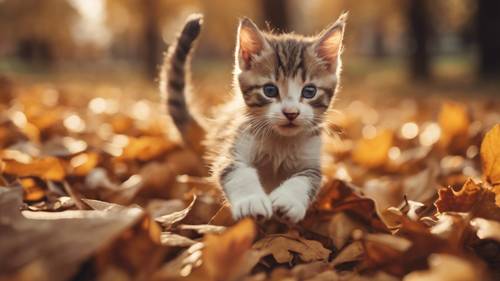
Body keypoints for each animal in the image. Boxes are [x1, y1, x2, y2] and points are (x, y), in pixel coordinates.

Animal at [162, 13, 346, 222]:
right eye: (269, 90)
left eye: (309, 91)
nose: (291, 113)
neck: (280, 141)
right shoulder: (235, 147)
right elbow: (236, 172)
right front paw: (251, 202)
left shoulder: (312, 160)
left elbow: (305, 179)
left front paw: (288, 200)